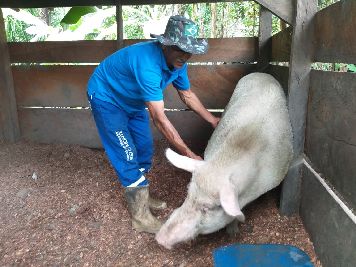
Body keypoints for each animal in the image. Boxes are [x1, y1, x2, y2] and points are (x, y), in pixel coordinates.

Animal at [155, 73, 292, 249]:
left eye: (207, 207)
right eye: (188, 194)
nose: (159, 238)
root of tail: (261, 74)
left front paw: (233, 234)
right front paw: (232, 233)